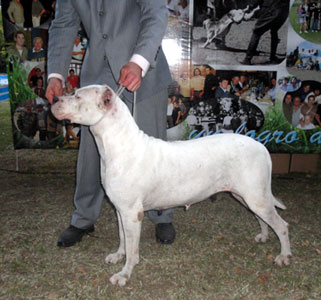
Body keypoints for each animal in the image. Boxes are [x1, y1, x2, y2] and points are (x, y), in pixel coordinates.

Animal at [51, 84, 292, 286]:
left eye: (77, 96)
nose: (54, 98)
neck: (117, 144)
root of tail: (261, 146)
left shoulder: (131, 213)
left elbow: (132, 248)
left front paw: (124, 274)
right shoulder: (120, 209)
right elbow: (122, 238)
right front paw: (118, 255)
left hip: (255, 196)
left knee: (281, 225)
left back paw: (284, 256)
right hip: (246, 196)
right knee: (261, 218)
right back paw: (263, 236)